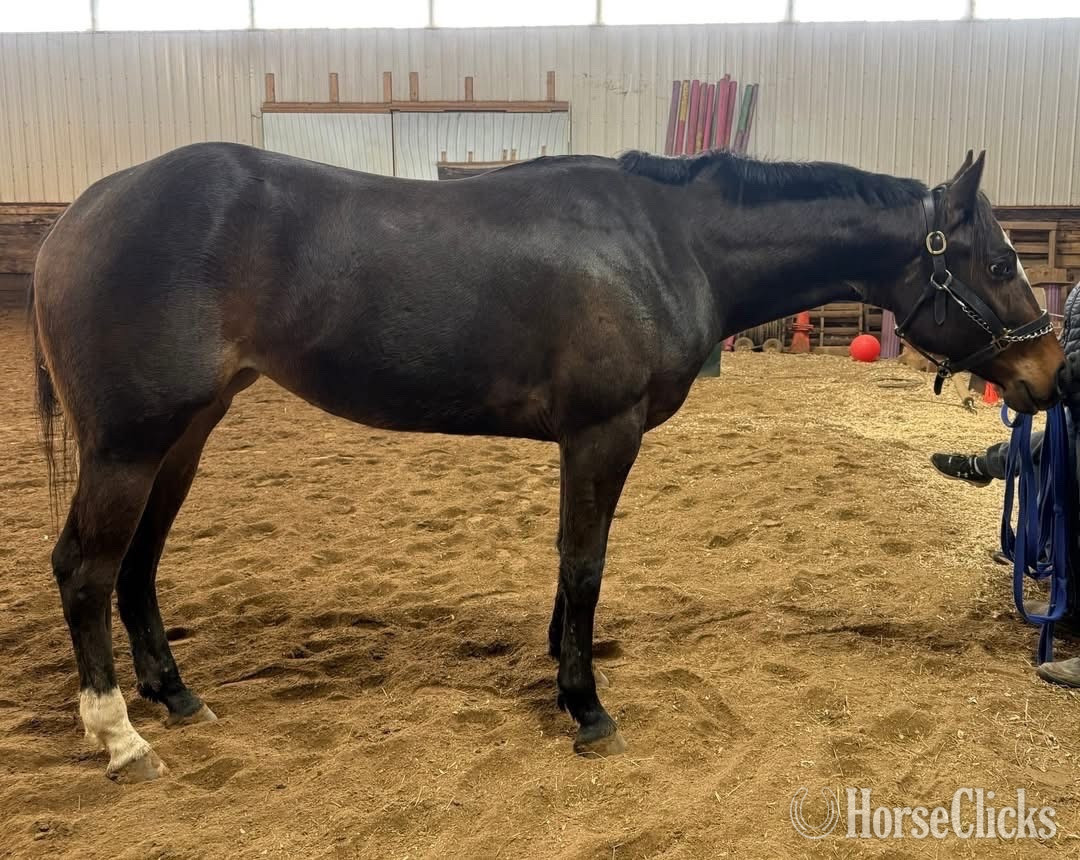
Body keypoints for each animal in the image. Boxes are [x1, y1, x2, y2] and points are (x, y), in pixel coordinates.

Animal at [29, 143, 1062, 781]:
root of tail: (81, 213)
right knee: (85, 569)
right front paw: (585, 707)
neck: (670, 242)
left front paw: (567, 661)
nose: (1055, 371)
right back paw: (120, 739)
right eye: (999, 263)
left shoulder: (588, 438)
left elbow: (573, 568)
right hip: (129, 443)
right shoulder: (603, 431)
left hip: (185, 434)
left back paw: (176, 697)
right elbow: (585, 560)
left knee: (138, 566)